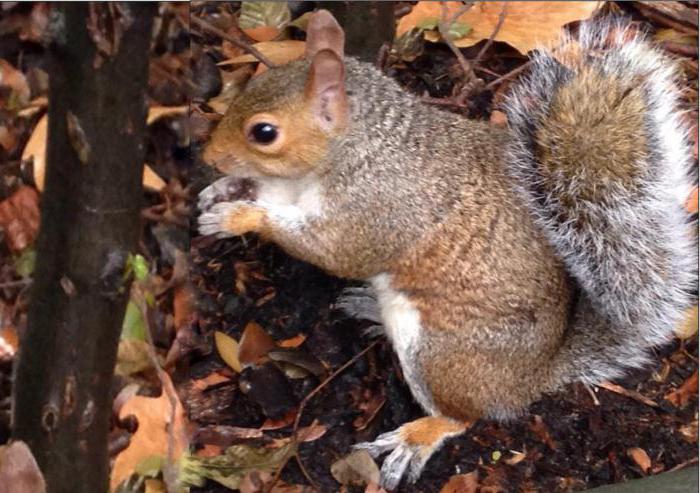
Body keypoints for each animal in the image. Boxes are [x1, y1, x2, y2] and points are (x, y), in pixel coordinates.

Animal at [198, 10, 700, 488]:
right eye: (248, 85)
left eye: (264, 132)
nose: (208, 157)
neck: (352, 149)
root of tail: (530, 380)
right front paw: (224, 190)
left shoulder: (377, 209)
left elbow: (337, 252)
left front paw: (238, 217)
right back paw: (369, 307)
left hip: (440, 357)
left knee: (463, 417)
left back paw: (418, 436)